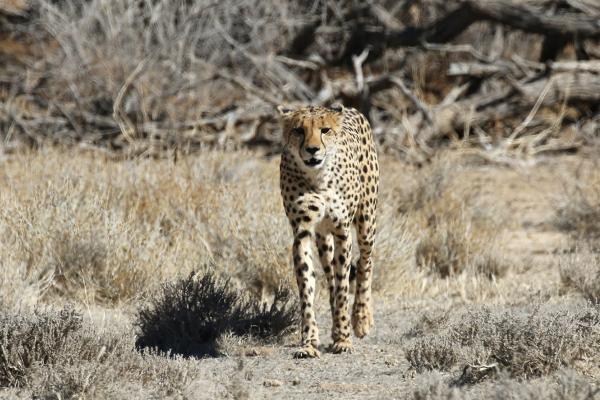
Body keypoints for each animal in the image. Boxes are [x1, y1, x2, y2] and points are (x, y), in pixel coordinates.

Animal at [278, 104, 380, 360]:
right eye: (298, 130)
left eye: (325, 130)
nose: (312, 149)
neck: (318, 178)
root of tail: (351, 109)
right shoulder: (302, 232)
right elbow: (307, 287)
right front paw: (309, 342)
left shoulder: (342, 230)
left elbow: (344, 287)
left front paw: (344, 338)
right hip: (323, 238)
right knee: (331, 275)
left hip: (366, 221)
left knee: (365, 262)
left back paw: (361, 318)